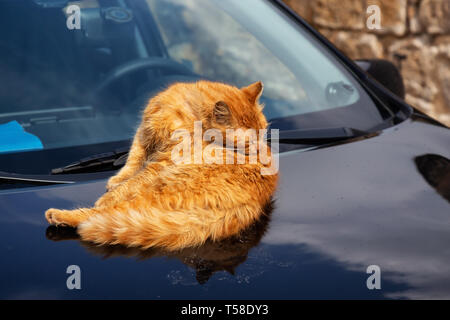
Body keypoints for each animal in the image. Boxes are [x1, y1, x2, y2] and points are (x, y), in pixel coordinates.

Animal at [45, 80, 278, 250]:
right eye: (249, 142)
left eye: (264, 133)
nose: (263, 153)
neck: (191, 113)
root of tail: (254, 203)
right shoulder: (143, 135)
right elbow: (132, 162)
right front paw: (118, 178)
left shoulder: (166, 160)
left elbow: (134, 179)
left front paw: (112, 192)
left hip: (159, 187)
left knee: (102, 213)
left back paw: (61, 215)